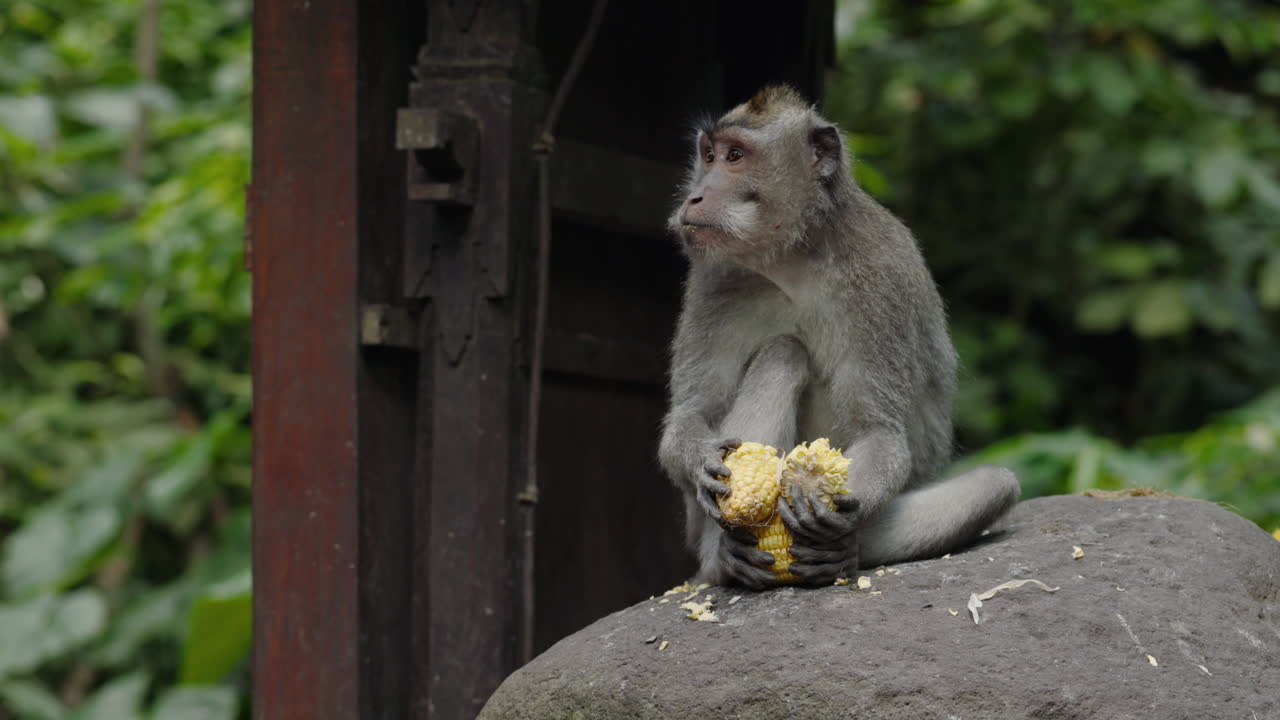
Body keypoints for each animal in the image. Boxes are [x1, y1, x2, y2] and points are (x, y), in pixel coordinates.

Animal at [657, 86, 1020, 589]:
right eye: (707, 155)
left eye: (735, 157)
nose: (695, 196)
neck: (792, 258)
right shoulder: (713, 282)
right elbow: (693, 413)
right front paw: (700, 460)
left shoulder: (878, 278)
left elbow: (878, 431)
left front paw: (825, 497)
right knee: (783, 353)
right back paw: (726, 559)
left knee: (996, 484)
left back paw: (842, 553)